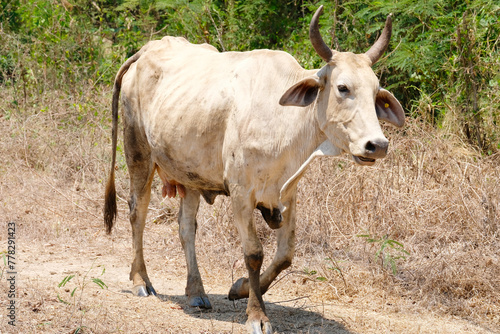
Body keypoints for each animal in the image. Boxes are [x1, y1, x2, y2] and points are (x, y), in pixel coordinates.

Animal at [103, 5, 404, 334]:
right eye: (343, 87)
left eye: (376, 93)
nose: (377, 145)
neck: (284, 120)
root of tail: (145, 50)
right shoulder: (241, 192)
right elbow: (254, 253)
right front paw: (257, 315)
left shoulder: (287, 193)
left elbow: (285, 255)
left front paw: (240, 288)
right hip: (138, 153)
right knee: (137, 212)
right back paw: (141, 281)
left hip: (190, 175)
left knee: (186, 228)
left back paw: (196, 292)